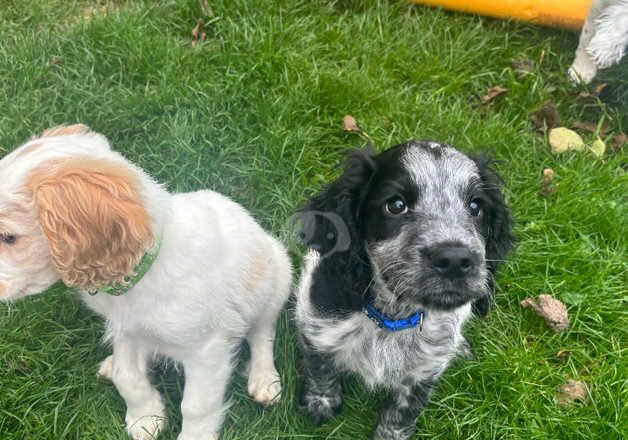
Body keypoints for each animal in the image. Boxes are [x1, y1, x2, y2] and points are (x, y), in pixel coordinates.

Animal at [0, 124, 290, 440]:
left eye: (9, 237)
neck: (139, 276)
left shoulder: (207, 347)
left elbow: (196, 405)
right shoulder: (125, 328)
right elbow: (126, 376)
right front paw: (145, 417)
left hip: (278, 276)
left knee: (262, 333)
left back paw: (264, 379)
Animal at [294, 141, 516, 440]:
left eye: (475, 206)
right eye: (396, 205)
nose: (455, 260)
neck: (392, 317)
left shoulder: (424, 371)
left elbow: (403, 412)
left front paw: (391, 433)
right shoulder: (316, 325)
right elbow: (320, 366)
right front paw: (321, 401)